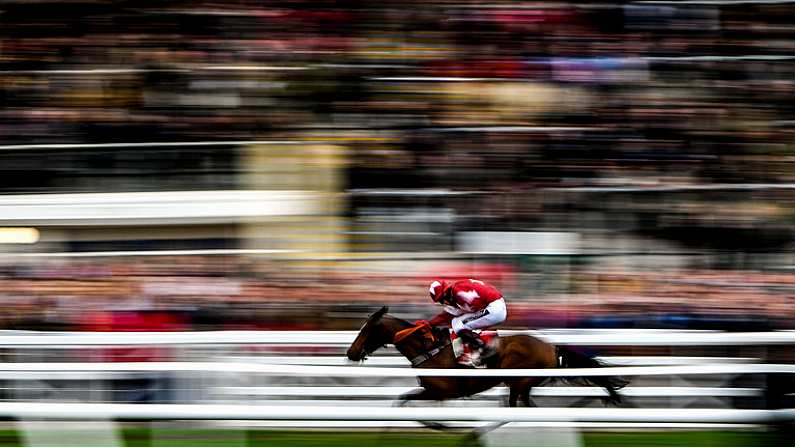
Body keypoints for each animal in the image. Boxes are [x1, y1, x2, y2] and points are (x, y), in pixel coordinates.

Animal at [346, 308, 628, 410]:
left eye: (365, 330)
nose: (351, 352)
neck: (428, 349)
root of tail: (550, 347)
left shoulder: (440, 392)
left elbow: (404, 399)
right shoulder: (435, 394)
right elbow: (403, 399)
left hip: (519, 381)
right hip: (521, 386)